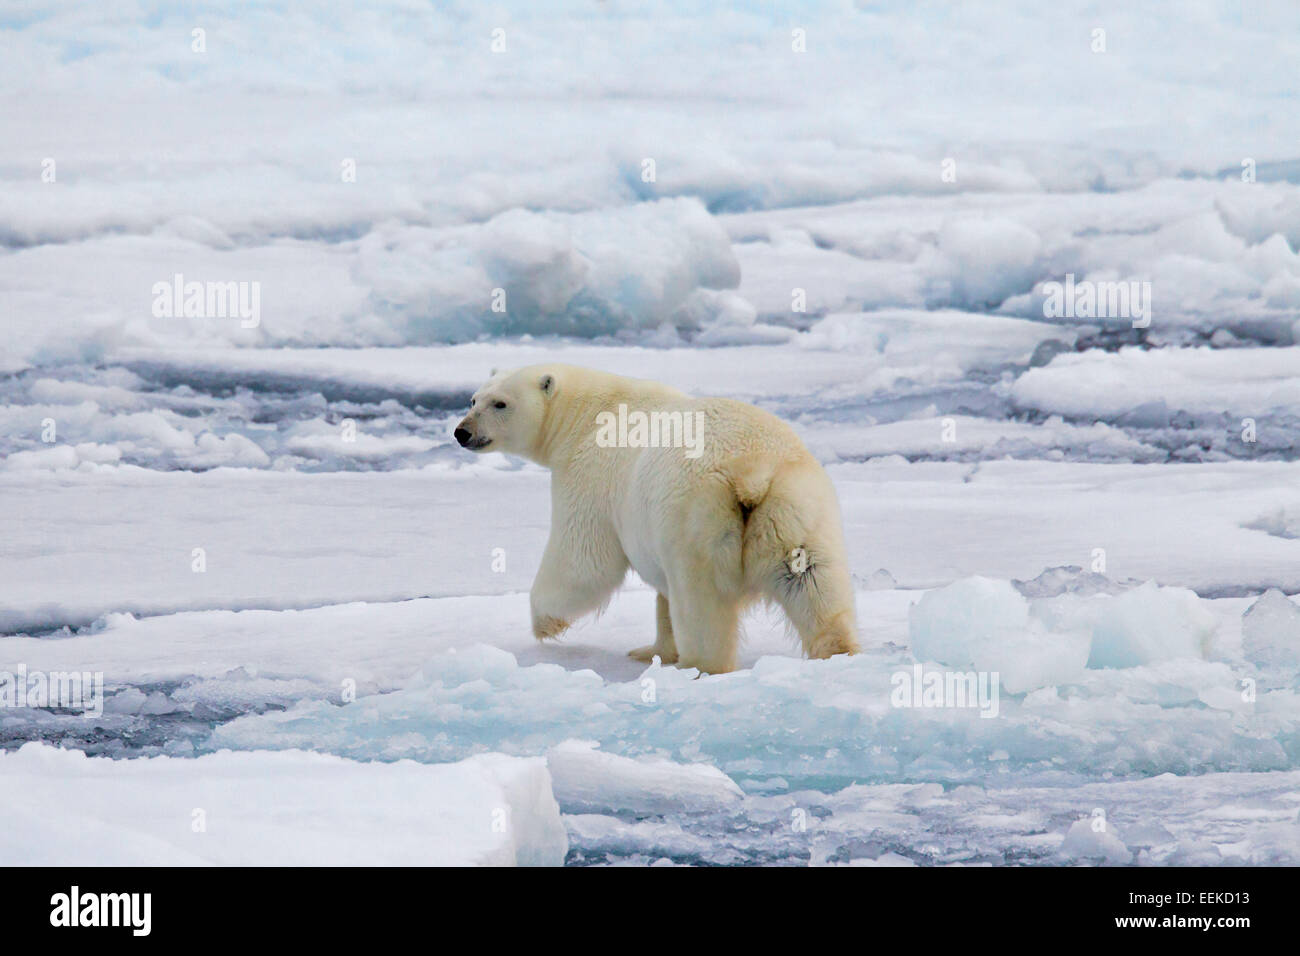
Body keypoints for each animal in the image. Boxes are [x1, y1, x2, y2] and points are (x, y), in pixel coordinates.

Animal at [452, 364, 857, 671]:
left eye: (500, 403)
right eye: (473, 399)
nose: (462, 432)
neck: (584, 414)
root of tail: (751, 474)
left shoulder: (589, 474)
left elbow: (584, 561)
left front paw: (544, 623)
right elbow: (660, 598)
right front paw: (652, 651)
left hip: (698, 519)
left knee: (701, 604)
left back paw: (699, 666)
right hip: (794, 510)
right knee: (813, 583)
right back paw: (837, 651)